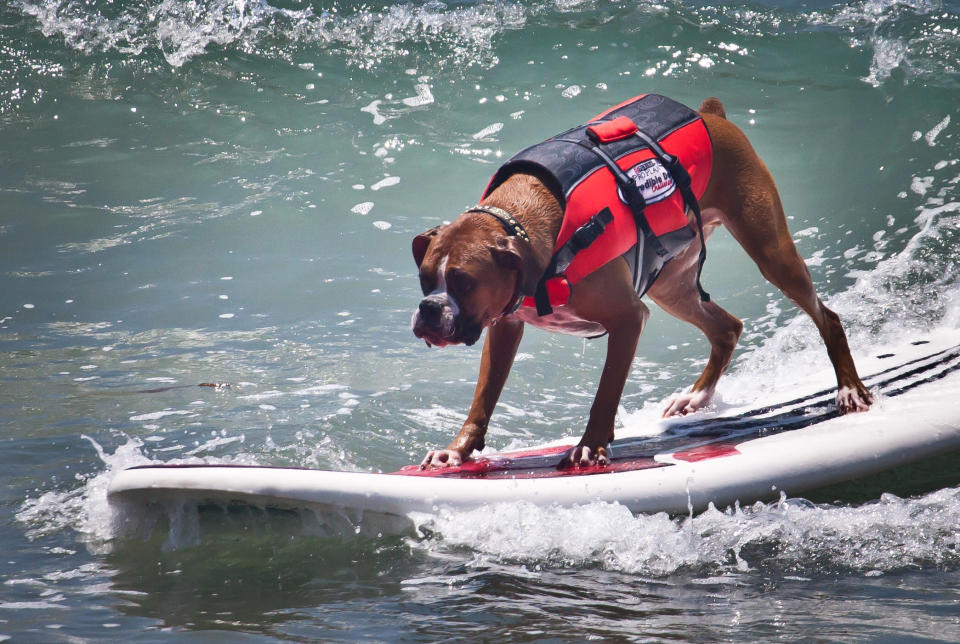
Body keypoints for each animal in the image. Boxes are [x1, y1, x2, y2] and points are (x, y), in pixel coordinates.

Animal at [408, 94, 872, 468]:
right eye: (425, 278)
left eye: (464, 282)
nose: (428, 309)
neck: (526, 224)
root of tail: (710, 115)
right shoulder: (505, 327)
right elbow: (483, 398)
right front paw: (457, 451)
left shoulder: (628, 319)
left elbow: (605, 393)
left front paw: (590, 446)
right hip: (673, 287)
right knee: (727, 328)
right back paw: (696, 398)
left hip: (771, 253)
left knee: (826, 317)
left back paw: (850, 389)